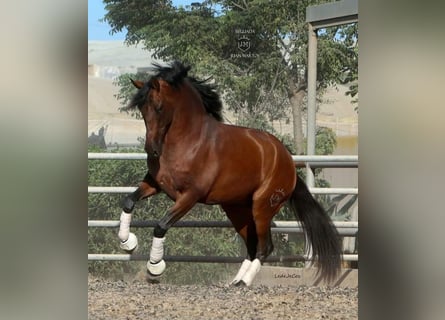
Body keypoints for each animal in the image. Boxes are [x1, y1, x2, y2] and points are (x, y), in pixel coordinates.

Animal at [117, 61, 340, 286]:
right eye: (142, 109)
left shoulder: (190, 196)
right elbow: (128, 201)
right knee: (251, 246)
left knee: (264, 247)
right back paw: (235, 281)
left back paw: (244, 282)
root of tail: (288, 162)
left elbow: (161, 225)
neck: (188, 142)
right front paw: (128, 242)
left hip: (262, 208)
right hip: (237, 210)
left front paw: (154, 268)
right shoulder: (156, 184)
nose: (151, 150)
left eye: (159, 107)